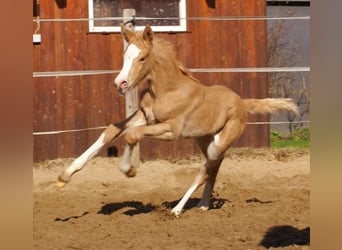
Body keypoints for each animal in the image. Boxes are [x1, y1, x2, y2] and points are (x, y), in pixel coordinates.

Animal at [57, 24, 298, 218]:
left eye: (142, 58)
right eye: (125, 55)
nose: (120, 83)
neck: (167, 90)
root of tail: (243, 103)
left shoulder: (172, 131)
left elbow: (132, 136)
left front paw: (128, 170)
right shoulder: (143, 116)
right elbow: (111, 130)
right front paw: (64, 176)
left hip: (220, 143)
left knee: (203, 171)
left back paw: (178, 209)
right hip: (205, 141)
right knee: (213, 169)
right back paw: (202, 205)